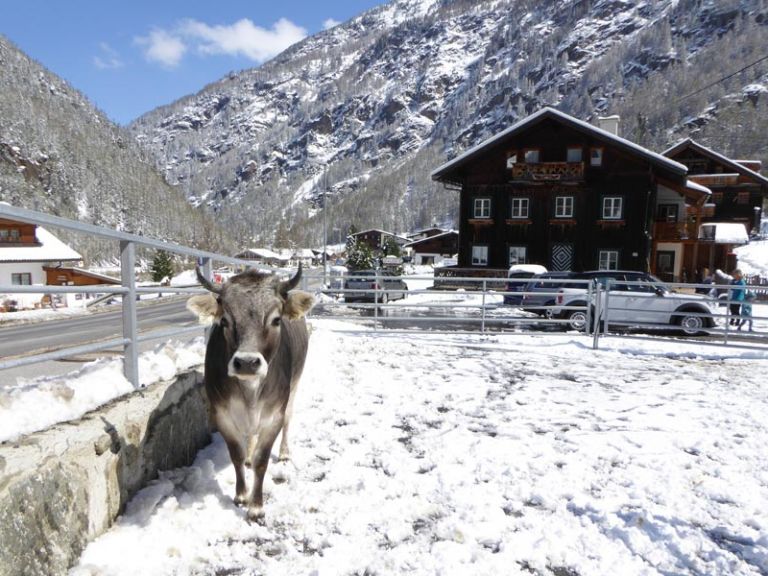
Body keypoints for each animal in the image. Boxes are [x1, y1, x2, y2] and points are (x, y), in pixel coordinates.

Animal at [186, 264, 314, 521]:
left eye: (276, 319)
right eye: (224, 320)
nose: (246, 363)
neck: (250, 392)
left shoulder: (273, 417)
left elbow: (262, 461)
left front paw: (256, 506)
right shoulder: (222, 415)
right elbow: (235, 455)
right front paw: (241, 495)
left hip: (294, 386)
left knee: (289, 418)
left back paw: (284, 452)